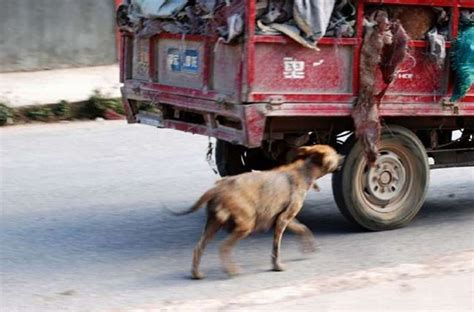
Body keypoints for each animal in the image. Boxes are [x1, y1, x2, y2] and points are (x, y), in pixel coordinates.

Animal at [176, 144, 342, 278]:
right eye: (335, 153)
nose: (344, 156)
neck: (305, 171)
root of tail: (218, 187)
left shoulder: (286, 219)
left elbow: (303, 228)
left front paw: (309, 247)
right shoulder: (283, 220)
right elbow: (276, 247)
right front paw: (277, 266)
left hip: (213, 225)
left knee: (198, 248)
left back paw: (196, 273)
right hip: (245, 224)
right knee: (223, 247)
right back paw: (232, 271)